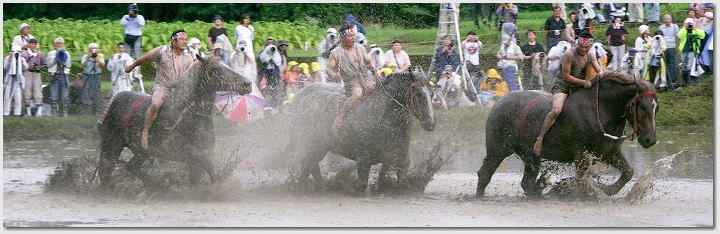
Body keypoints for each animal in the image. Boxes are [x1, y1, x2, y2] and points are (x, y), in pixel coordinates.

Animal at [95, 55, 253, 190]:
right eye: (216, 68)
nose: (247, 84)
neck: (186, 113)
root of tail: (113, 99)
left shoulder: (198, 159)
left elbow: (200, 179)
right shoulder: (193, 155)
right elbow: (212, 172)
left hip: (141, 152)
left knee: (131, 167)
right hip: (111, 146)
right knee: (105, 171)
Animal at [284, 71, 436, 192]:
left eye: (431, 93)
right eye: (419, 94)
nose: (431, 123)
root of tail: (299, 96)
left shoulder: (399, 159)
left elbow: (396, 181)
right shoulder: (364, 159)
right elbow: (362, 184)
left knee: (311, 165)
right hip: (315, 146)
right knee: (307, 165)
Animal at [478, 71, 660, 197]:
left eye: (656, 108)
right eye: (642, 106)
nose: (650, 139)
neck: (601, 110)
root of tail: (499, 102)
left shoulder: (610, 153)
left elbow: (628, 173)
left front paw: (607, 189)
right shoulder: (582, 155)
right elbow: (583, 181)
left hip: (530, 156)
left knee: (526, 183)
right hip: (497, 151)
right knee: (485, 174)